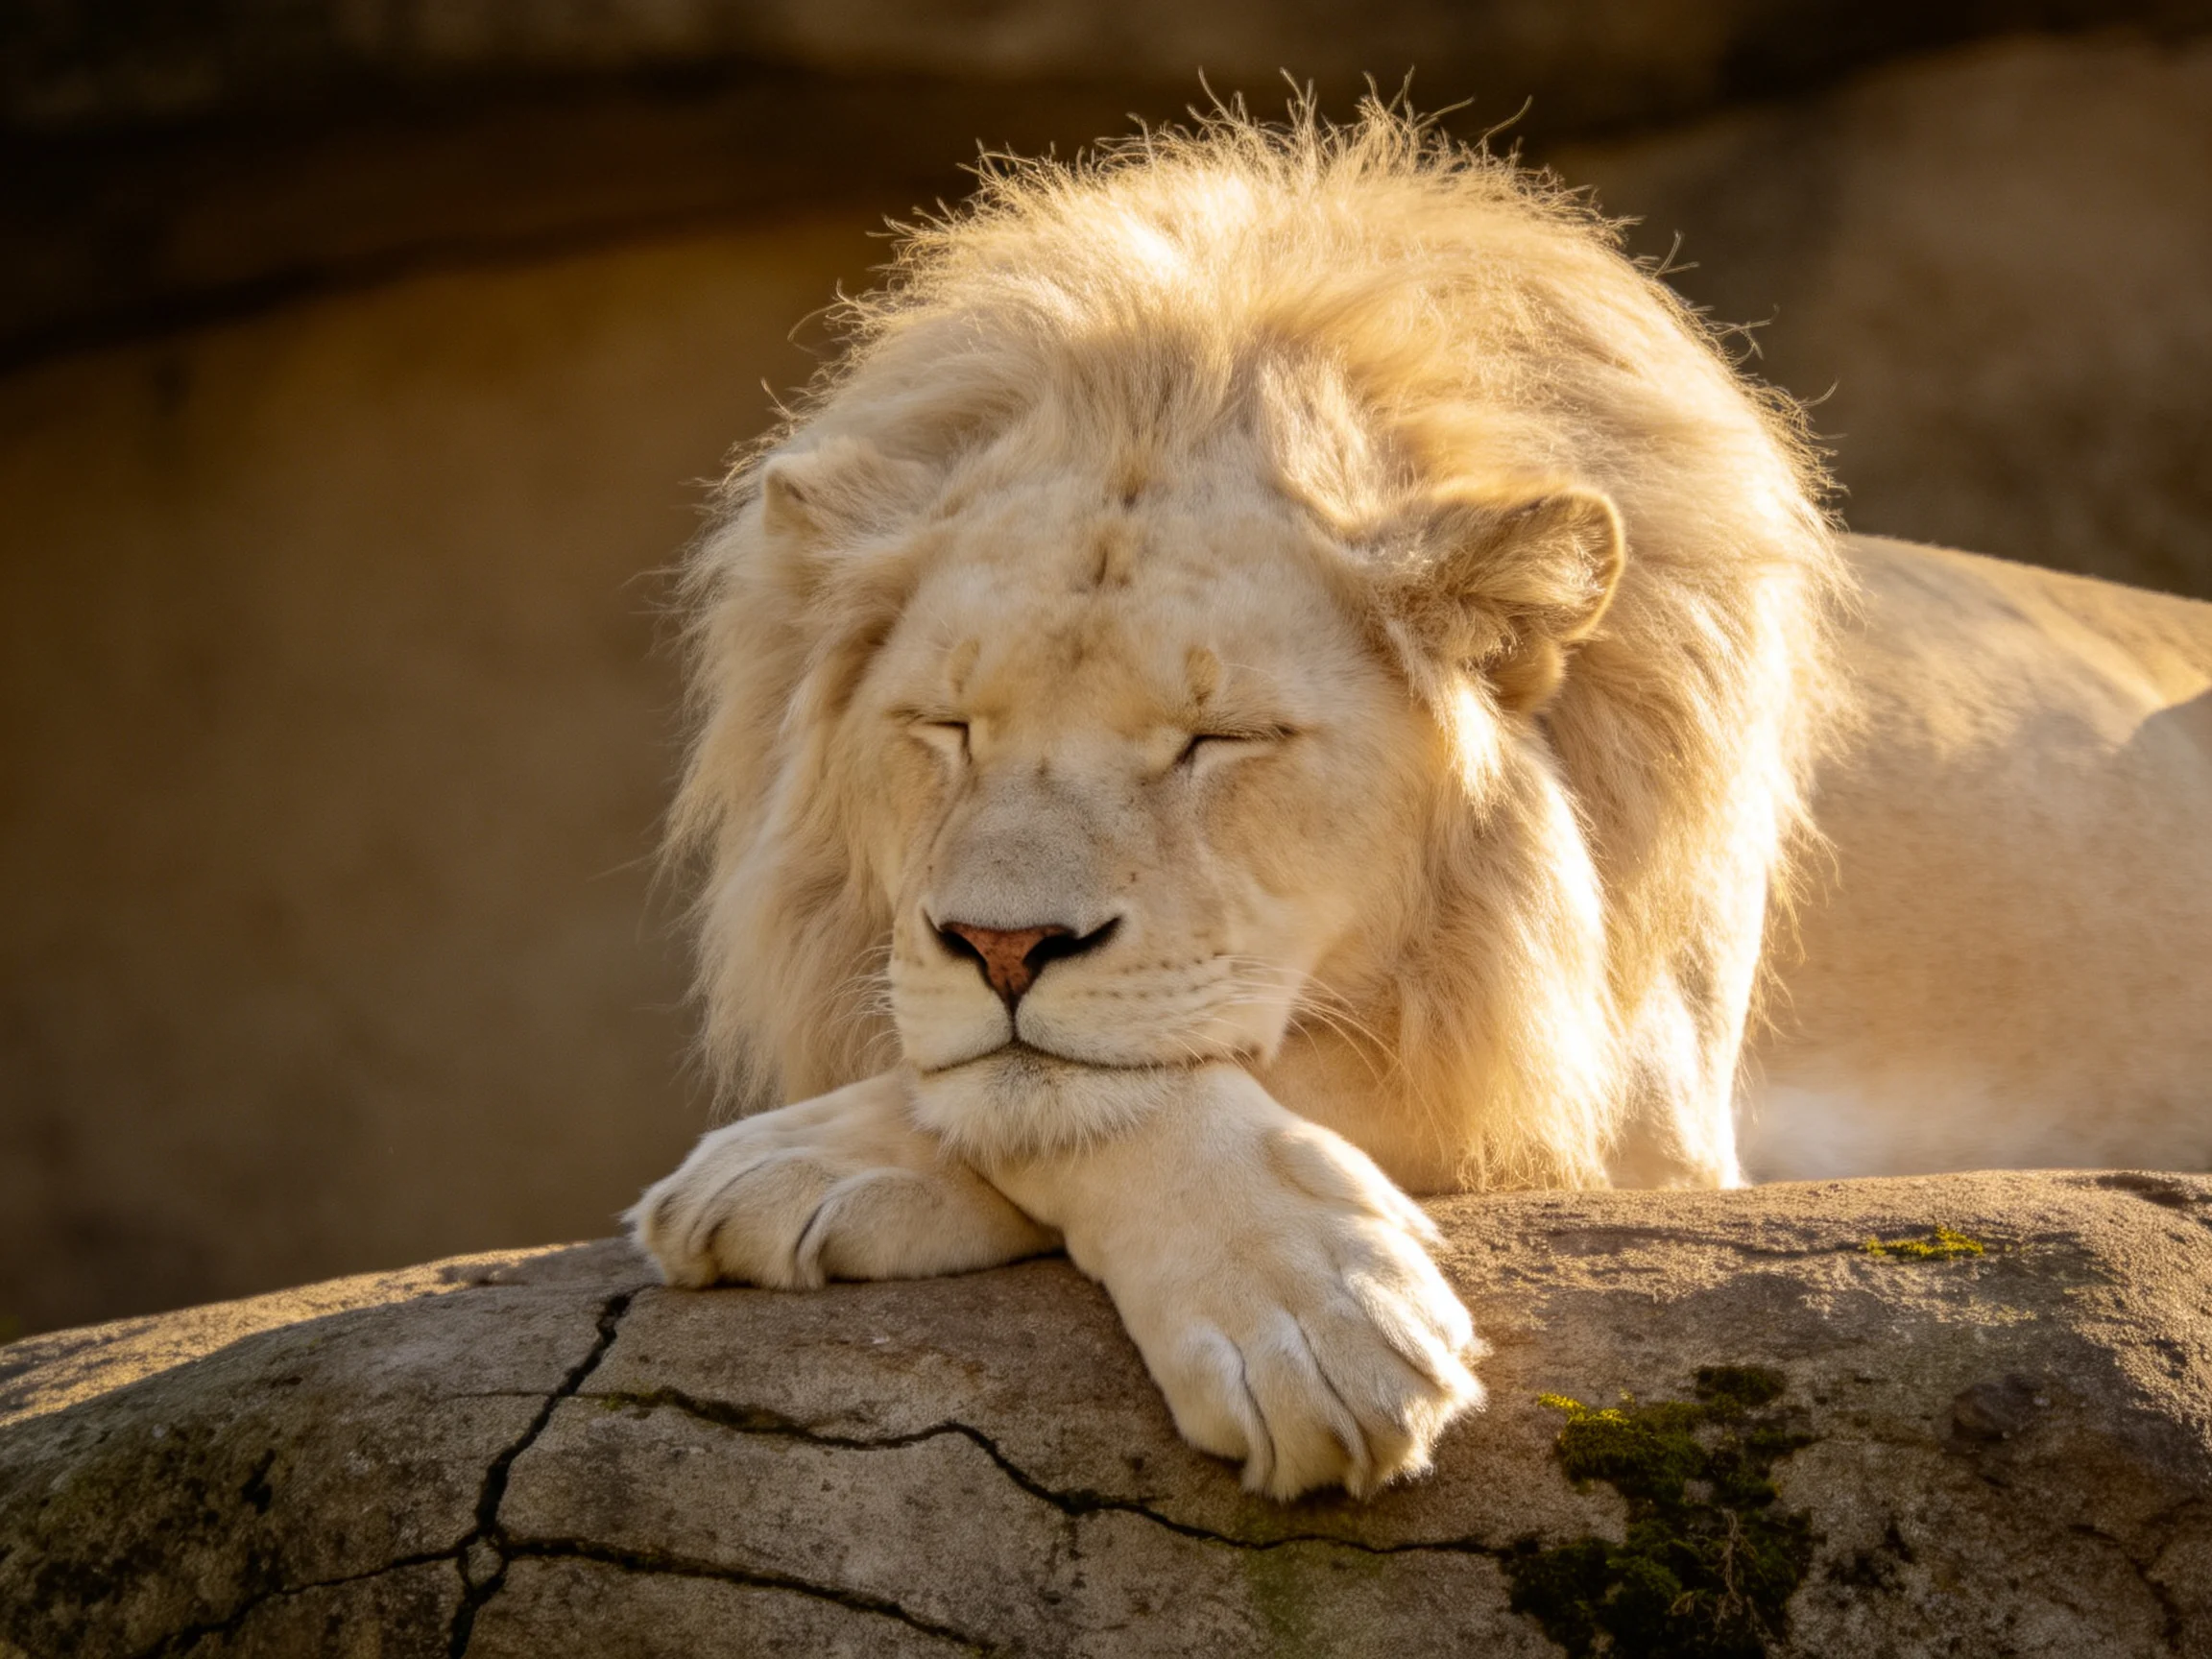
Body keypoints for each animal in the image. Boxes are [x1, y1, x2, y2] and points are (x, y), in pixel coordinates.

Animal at [631, 105, 2212, 1499]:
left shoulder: (1621, 1091)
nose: (1003, 950)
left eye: (1220, 738)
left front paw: (1304, 1327)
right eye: (946, 726)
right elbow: (1056, 1084)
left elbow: (1177, 1079)